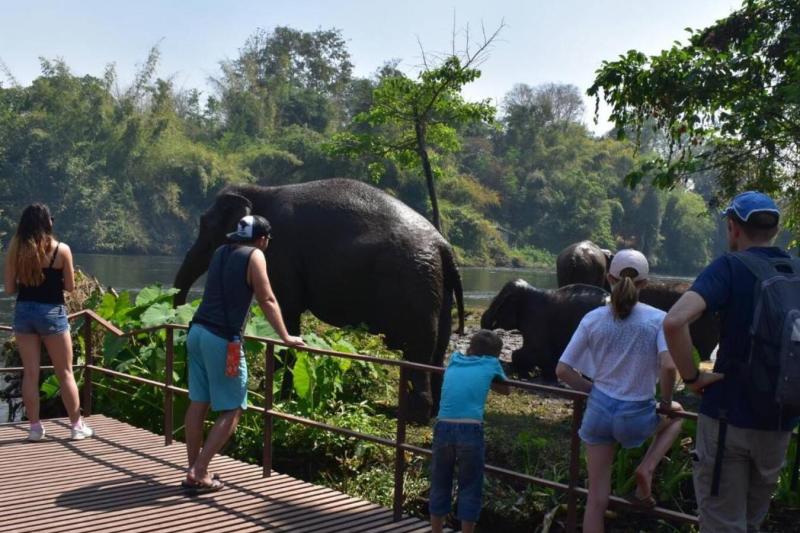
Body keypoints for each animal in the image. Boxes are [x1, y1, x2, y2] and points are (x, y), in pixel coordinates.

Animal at [173, 178, 465, 422]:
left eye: (206, 225)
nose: (180, 321)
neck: (262, 190)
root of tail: (444, 246)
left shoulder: (281, 255)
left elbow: (286, 309)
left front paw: (280, 395)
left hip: (415, 285)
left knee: (418, 350)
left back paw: (413, 417)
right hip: (438, 290)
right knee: (438, 349)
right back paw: (437, 414)